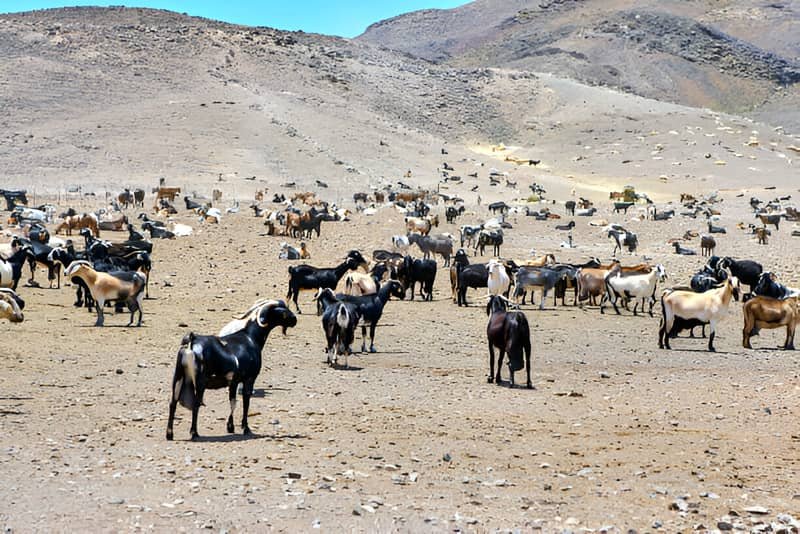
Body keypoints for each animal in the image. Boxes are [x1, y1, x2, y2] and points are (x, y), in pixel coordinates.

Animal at [166, 300, 296, 442]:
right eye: (282, 311)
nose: (294, 320)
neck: (251, 337)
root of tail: (192, 340)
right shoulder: (249, 379)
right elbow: (245, 402)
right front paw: (246, 428)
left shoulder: (233, 382)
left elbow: (233, 402)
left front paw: (230, 427)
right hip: (200, 382)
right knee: (195, 404)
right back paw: (194, 433)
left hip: (178, 377)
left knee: (173, 402)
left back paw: (169, 434)